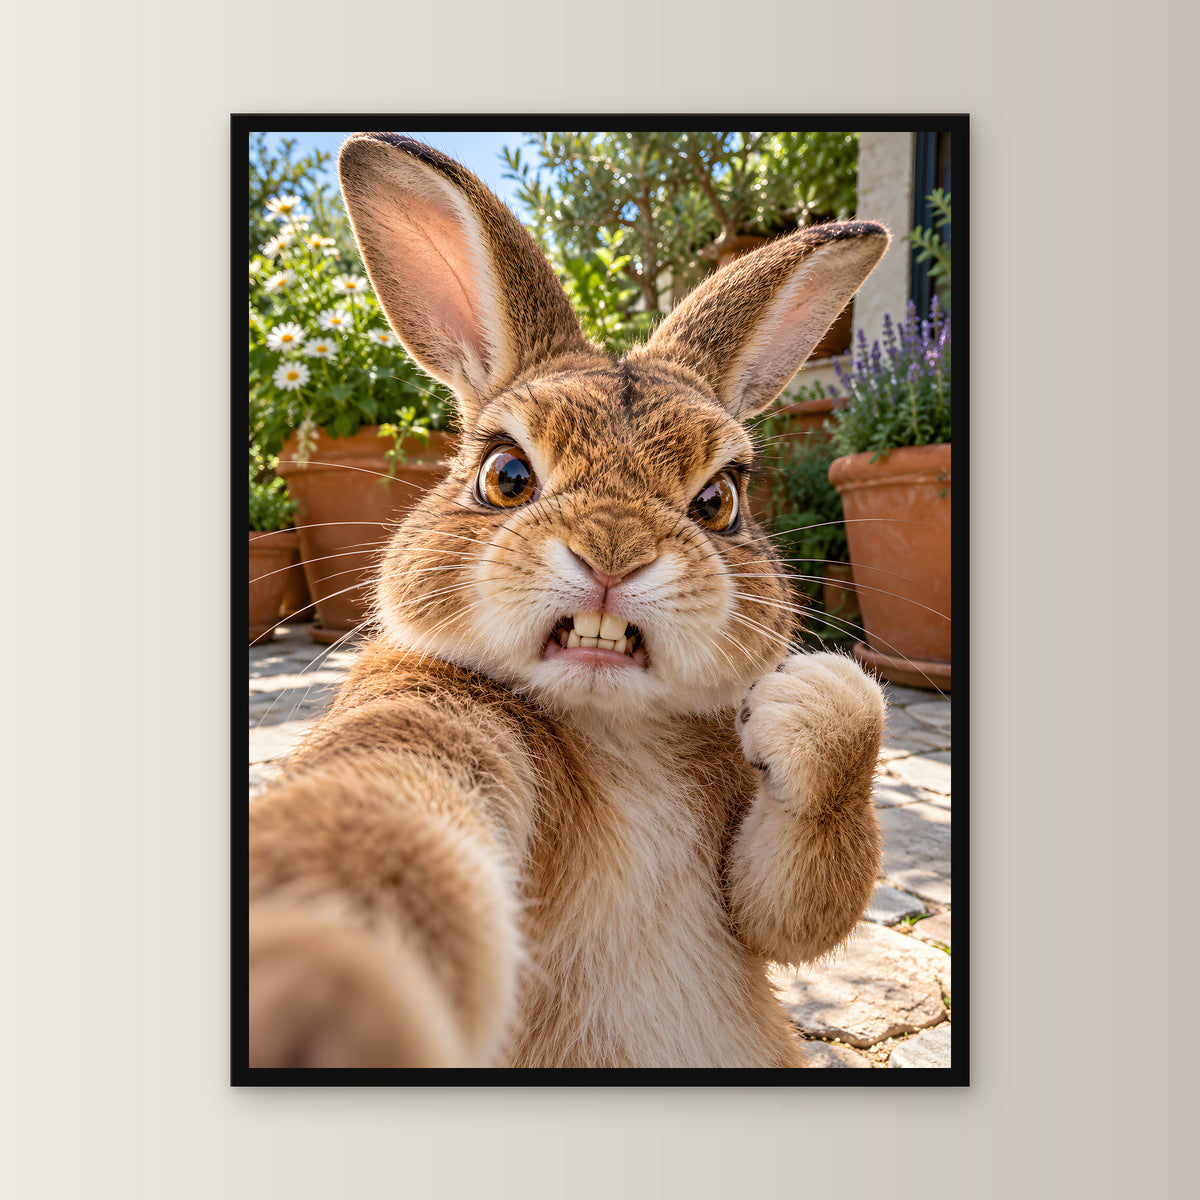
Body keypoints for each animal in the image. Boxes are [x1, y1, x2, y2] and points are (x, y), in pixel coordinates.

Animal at [248, 132, 890, 1069]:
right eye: (505, 476)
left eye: (720, 501)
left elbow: (799, 906)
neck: (612, 727)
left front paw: (810, 700)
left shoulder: (758, 890)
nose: (614, 554)